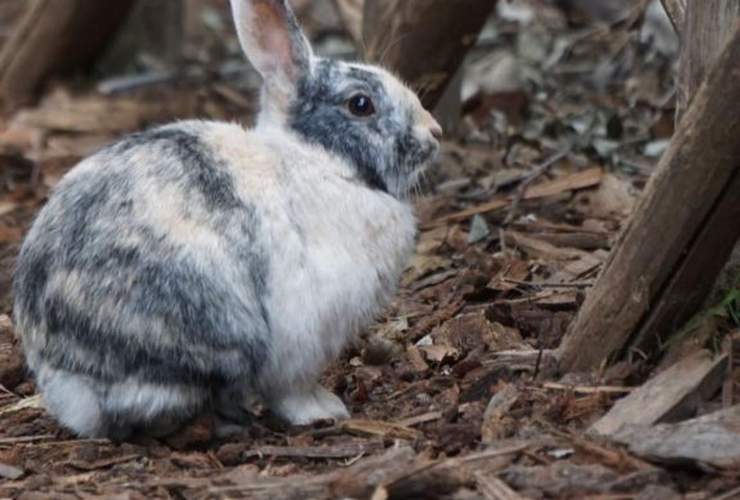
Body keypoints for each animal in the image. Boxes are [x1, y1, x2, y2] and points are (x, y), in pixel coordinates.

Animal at [13, 0, 440, 440]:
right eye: (360, 104)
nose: (434, 133)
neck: (317, 159)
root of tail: (70, 383)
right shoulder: (301, 337)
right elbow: (293, 389)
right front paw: (323, 411)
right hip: (216, 337)